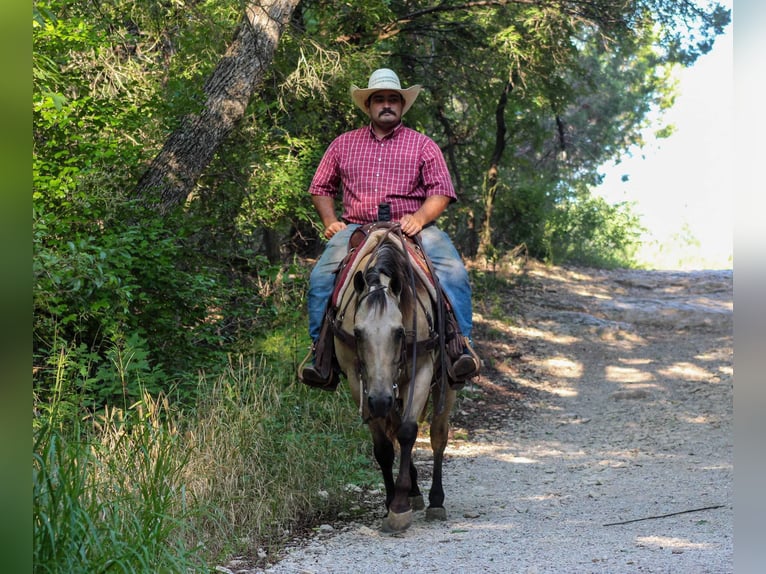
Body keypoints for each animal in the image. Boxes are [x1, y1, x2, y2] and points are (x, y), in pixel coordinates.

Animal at [332, 224, 456, 533]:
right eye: (359, 333)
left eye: (399, 332)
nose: (379, 401)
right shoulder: (358, 380)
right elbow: (384, 447)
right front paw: (392, 501)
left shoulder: (421, 370)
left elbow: (409, 431)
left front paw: (399, 507)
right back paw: (414, 491)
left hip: (445, 384)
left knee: (438, 435)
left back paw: (435, 500)